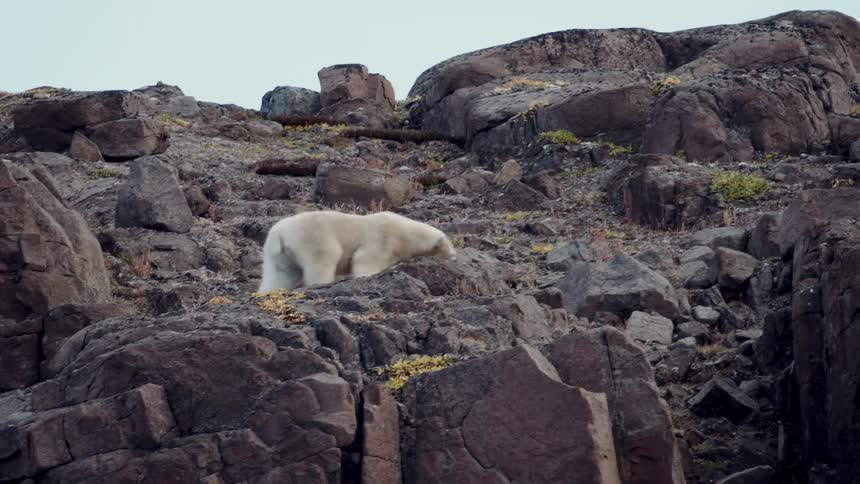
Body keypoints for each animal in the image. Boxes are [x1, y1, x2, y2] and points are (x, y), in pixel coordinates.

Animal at [258, 210, 456, 292]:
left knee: (280, 274)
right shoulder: (383, 239)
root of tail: (278, 232)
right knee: (324, 259)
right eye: (448, 244)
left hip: (278, 254)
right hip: (313, 238)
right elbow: (364, 260)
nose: (454, 255)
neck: (405, 234)